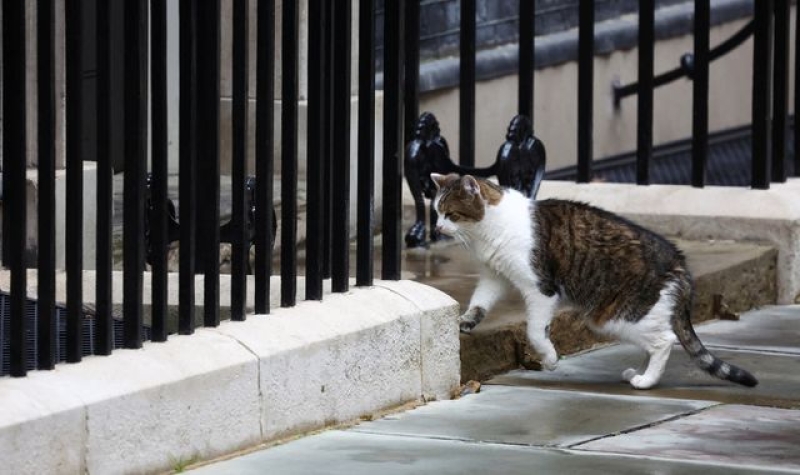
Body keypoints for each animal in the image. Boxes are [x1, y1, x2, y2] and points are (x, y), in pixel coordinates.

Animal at [434, 174, 760, 390]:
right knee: (654, 340)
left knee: (664, 340)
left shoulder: (539, 289)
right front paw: (465, 322)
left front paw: (549, 359)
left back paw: (645, 381)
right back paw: (638, 372)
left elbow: (536, 331)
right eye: (435, 211)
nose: (436, 227)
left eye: (450, 213)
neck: (488, 229)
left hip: (614, 316)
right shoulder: (496, 276)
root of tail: (679, 262)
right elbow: (479, 303)